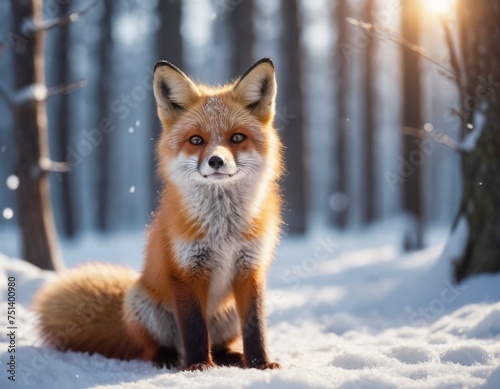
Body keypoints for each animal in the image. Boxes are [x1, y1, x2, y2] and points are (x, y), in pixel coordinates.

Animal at [34, 58, 286, 370]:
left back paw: (230, 357)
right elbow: (194, 328)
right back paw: (171, 359)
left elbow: (255, 326)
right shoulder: (186, 271)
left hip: (225, 315)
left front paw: (260, 364)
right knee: (156, 348)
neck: (223, 229)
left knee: (218, 344)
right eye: (196, 140)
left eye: (237, 137)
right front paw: (198, 366)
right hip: (143, 306)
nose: (216, 161)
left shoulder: (250, 269)